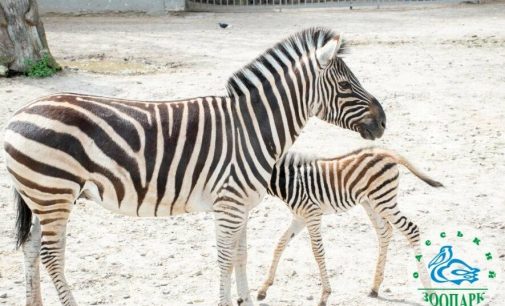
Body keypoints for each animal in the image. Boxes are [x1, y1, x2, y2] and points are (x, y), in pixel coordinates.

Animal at [3, 27, 384, 304]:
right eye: (346, 84)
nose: (383, 122)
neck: (251, 127)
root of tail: (19, 113)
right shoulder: (229, 203)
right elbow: (225, 259)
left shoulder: (242, 205)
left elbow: (241, 256)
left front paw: (245, 300)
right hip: (54, 193)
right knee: (51, 256)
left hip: (43, 197)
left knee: (32, 248)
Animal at [258, 147, 440, 304]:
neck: (291, 182)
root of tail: (385, 152)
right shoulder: (299, 217)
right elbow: (280, 244)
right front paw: (264, 288)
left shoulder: (312, 214)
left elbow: (317, 251)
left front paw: (325, 295)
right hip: (371, 202)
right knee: (385, 231)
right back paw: (375, 287)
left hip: (384, 200)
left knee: (411, 229)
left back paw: (429, 288)